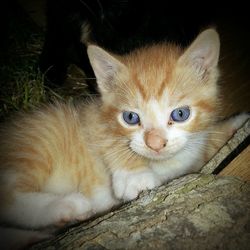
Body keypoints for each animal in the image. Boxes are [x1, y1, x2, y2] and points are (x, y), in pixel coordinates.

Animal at [0, 28, 249, 248]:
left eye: (180, 114)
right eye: (130, 117)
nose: (155, 144)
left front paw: (238, 125)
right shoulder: (90, 116)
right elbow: (109, 139)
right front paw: (135, 177)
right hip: (37, 144)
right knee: (8, 195)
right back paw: (67, 205)